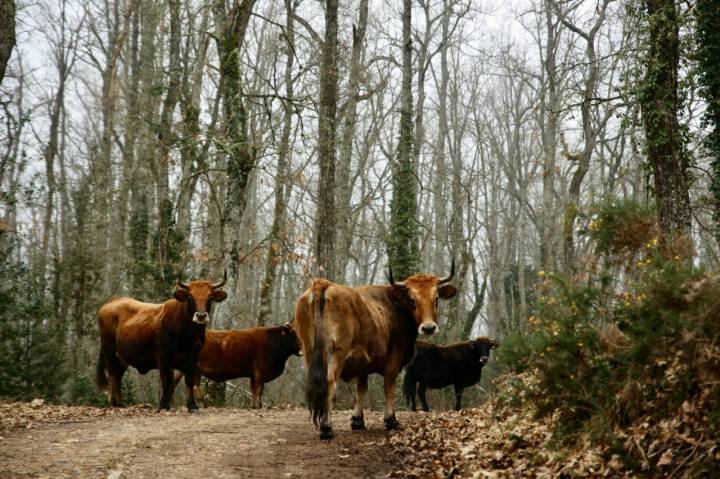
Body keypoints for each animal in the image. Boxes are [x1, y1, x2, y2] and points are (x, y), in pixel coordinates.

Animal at [95, 272, 225, 410]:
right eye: (190, 297)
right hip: (109, 351)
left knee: (118, 377)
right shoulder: (163, 356)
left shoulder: (193, 358)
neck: (187, 334)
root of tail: (114, 300)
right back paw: (114, 403)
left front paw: (192, 405)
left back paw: (120, 404)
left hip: (122, 357)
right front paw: (163, 405)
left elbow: (188, 381)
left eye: (210, 296)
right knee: (112, 375)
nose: (201, 316)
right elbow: (167, 380)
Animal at [292, 260, 456, 440]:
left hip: (309, 351)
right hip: (336, 353)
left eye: (436, 298)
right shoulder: (394, 360)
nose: (428, 328)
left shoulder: (362, 362)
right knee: (329, 382)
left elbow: (361, 389)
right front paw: (391, 420)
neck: (395, 306)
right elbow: (389, 387)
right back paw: (327, 427)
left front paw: (358, 421)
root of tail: (324, 284)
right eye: (412, 300)